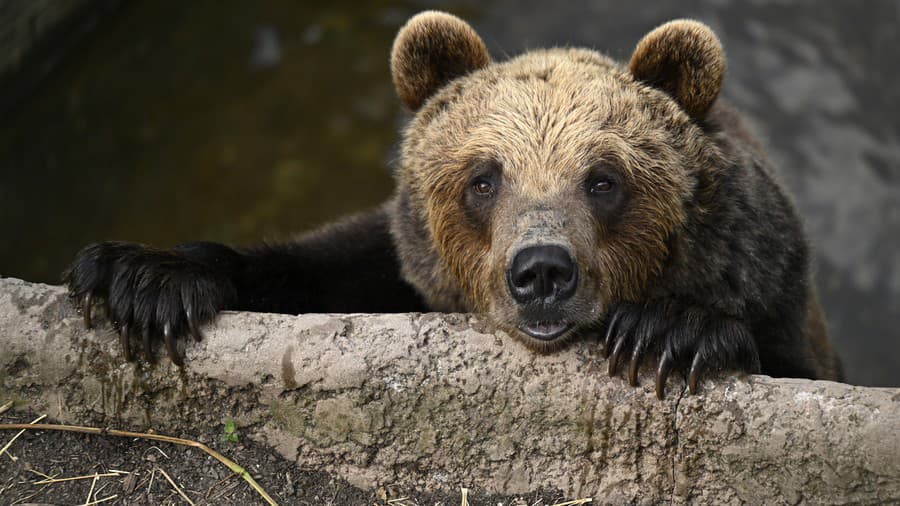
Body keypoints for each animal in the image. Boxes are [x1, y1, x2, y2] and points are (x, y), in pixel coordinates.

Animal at [65, 10, 844, 396]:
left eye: (603, 179)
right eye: (483, 179)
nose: (541, 272)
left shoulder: (765, 278)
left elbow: (780, 358)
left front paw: (668, 330)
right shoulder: (399, 262)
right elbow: (303, 266)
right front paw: (143, 278)